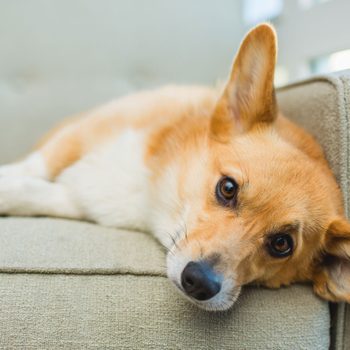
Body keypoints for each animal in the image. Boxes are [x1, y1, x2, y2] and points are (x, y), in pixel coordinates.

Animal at [0, 23, 350, 310]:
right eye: (227, 188)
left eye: (281, 244)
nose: (199, 283)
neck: (152, 186)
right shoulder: (78, 136)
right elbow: (32, 169)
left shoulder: (87, 200)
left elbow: (35, 194)